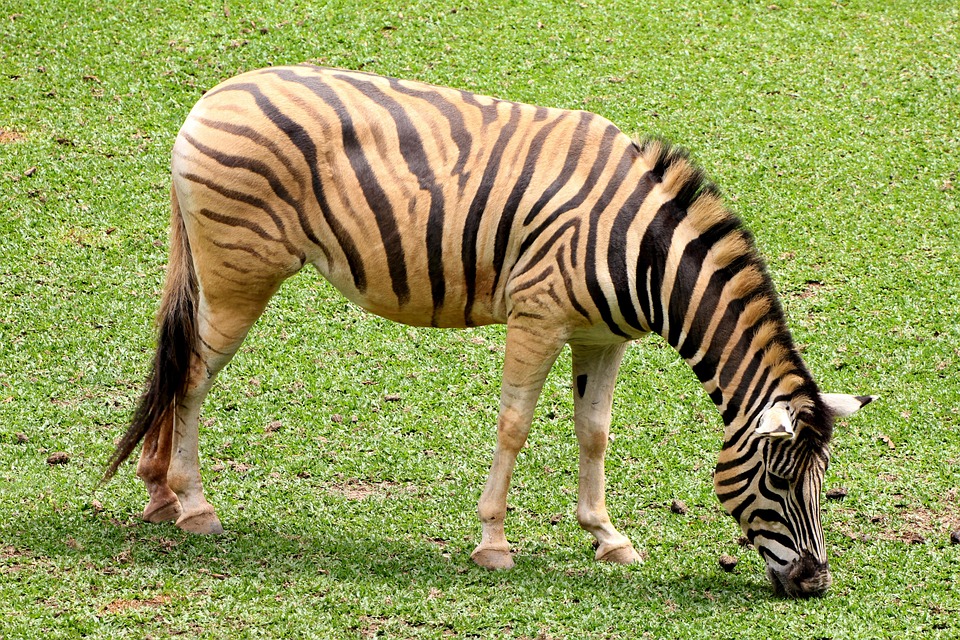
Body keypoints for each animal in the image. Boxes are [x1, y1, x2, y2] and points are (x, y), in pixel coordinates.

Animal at [100, 65, 874, 597]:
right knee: (193, 374)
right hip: (240, 273)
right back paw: (194, 504)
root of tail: (213, 96)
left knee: (178, 362)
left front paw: (608, 537)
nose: (814, 584)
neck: (645, 252)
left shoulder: (602, 337)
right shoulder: (539, 316)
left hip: (212, 268)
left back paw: (158, 494)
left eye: (824, 482)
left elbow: (594, 432)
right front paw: (494, 543)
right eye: (779, 479)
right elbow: (515, 425)